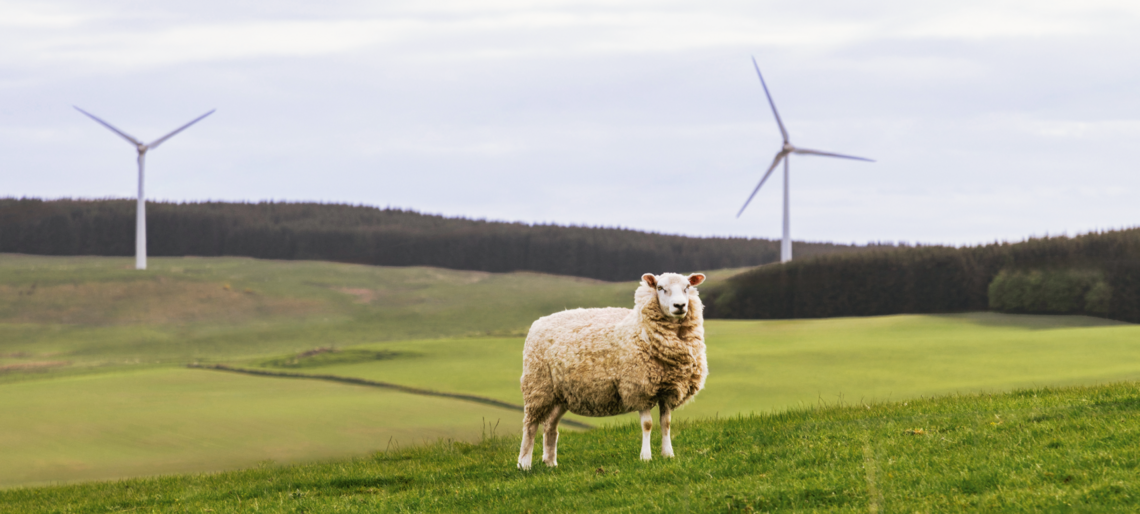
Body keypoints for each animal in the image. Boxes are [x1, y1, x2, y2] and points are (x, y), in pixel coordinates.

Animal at [517, 272, 707, 470]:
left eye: (687, 287)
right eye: (660, 288)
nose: (680, 305)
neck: (640, 328)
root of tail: (539, 321)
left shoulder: (668, 389)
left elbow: (666, 423)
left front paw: (668, 454)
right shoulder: (638, 389)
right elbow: (647, 424)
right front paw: (646, 457)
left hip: (560, 394)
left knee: (550, 426)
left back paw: (550, 462)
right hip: (538, 386)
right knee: (530, 425)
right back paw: (524, 464)